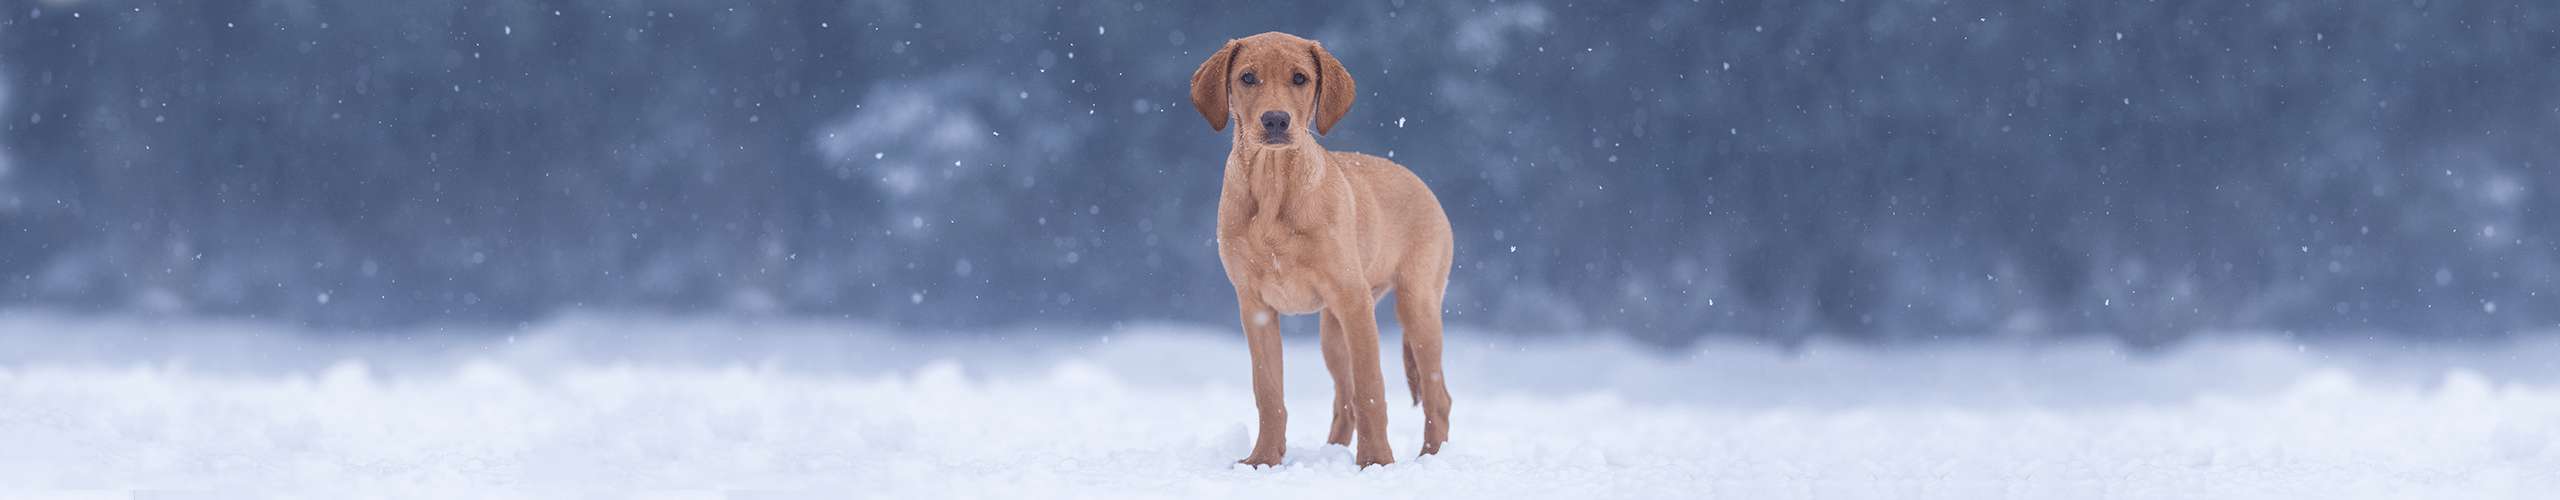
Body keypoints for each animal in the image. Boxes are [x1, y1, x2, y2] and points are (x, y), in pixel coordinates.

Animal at [1187, 32, 1454, 469]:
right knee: (1343, 401)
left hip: (1416, 304)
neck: (1274, 186)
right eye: (1247, 78)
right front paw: (1263, 459)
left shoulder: (1354, 301)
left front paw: (1377, 462)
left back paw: (1430, 457)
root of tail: (1419, 181)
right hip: (1333, 332)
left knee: (1436, 396)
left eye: (1300, 78)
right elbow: (1269, 392)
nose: (1275, 120)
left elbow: (1371, 388)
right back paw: (1332, 452)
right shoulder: (1255, 307)